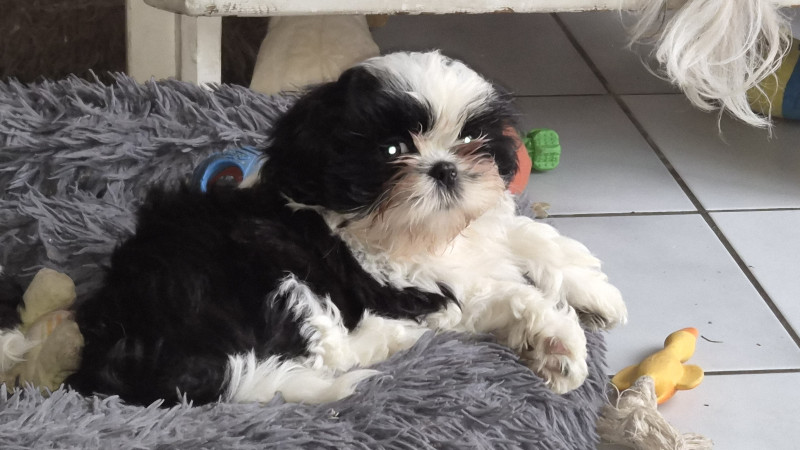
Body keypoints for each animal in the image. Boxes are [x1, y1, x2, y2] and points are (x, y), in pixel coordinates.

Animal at [2, 51, 626, 406]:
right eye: (392, 151)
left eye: (472, 139)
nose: (445, 168)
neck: (419, 235)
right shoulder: (409, 285)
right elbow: (501, 294)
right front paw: (558, 341)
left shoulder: (476, 233)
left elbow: (523, 236)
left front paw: (594, 293)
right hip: (265, 274)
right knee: (322, 352)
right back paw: (392, 344)